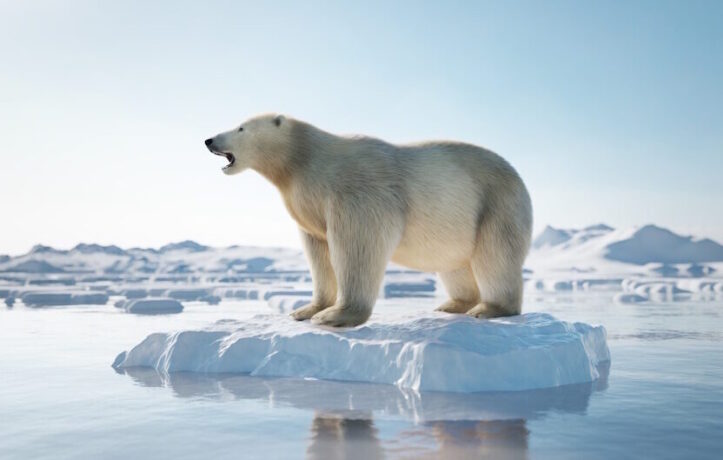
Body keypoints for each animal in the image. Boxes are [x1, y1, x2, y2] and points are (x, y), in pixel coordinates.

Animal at [204, 113, 532, 328]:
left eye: (240, 127)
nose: (209, 139)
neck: (304, 160)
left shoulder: (356, 191)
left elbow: (357, 245)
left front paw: (335, 316)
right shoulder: (309, 205)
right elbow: (318, 252)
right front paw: (306, 309)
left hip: (496, 204)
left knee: (495, 257)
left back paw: (489, 308)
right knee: (455, 263)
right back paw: (452, 305)